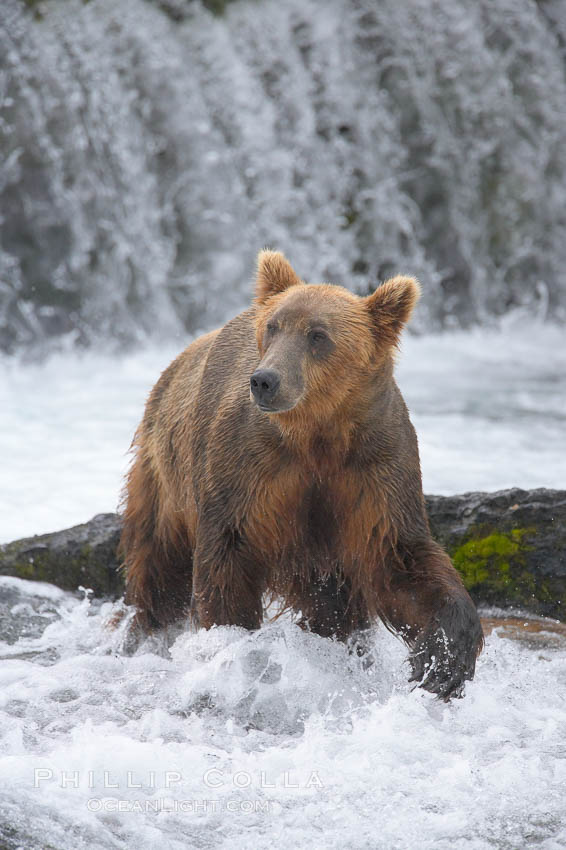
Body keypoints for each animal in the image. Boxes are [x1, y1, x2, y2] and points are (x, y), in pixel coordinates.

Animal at [120, 250, 484, 696]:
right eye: (273, 326)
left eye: (318, 335)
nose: (265, 380)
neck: (316, 436)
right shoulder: (249, 470)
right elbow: (226, 557)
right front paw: (230, 643)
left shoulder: (372, 468)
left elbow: (402, 562)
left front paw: (442, 664)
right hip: (165, 471)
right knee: (157, 563)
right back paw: (143, 635)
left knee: (334, 603)